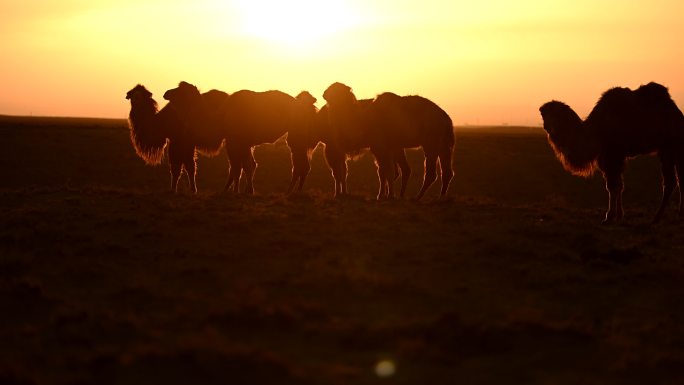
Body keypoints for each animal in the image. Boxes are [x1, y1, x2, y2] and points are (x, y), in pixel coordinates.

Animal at [163, 81, 312, 195]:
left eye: (179, 90)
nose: (166, 93)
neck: (221, 118)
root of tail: (304, 107)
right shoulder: (240, 142)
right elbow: (243, 165)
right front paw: (238, 190)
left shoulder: (236, 140)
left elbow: (242, 166)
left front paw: (243, 191)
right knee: (302, 164)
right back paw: (294, 191)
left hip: (297, 133)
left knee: (300, 164)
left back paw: (291, 191)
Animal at [322, 82, 454, 200]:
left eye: (338, 92)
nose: (325, 94)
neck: (363, 119)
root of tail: (446, 117)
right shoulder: (383, 148)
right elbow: (384, 172)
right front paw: (384, 195)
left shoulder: (380, 147)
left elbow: (387, 172)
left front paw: (386, 196)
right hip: (444, 145)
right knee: (447, 172)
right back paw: (441, 198)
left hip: (431, 142)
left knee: (431, 173)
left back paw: (417, 197)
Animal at [540, 82, 684, 224]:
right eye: (544, 114)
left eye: (553, 114)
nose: (546, 127)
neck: (594, 131)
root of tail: (678, 115)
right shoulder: (611, 157)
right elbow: (618, 185)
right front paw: (619, 215)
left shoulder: (612, 155)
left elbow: (613, 186)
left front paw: (609, 216)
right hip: (673, 151)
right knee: (679, 179)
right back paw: (675, 215)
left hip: (670, 148)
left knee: (671, 181)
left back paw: (657, 217)